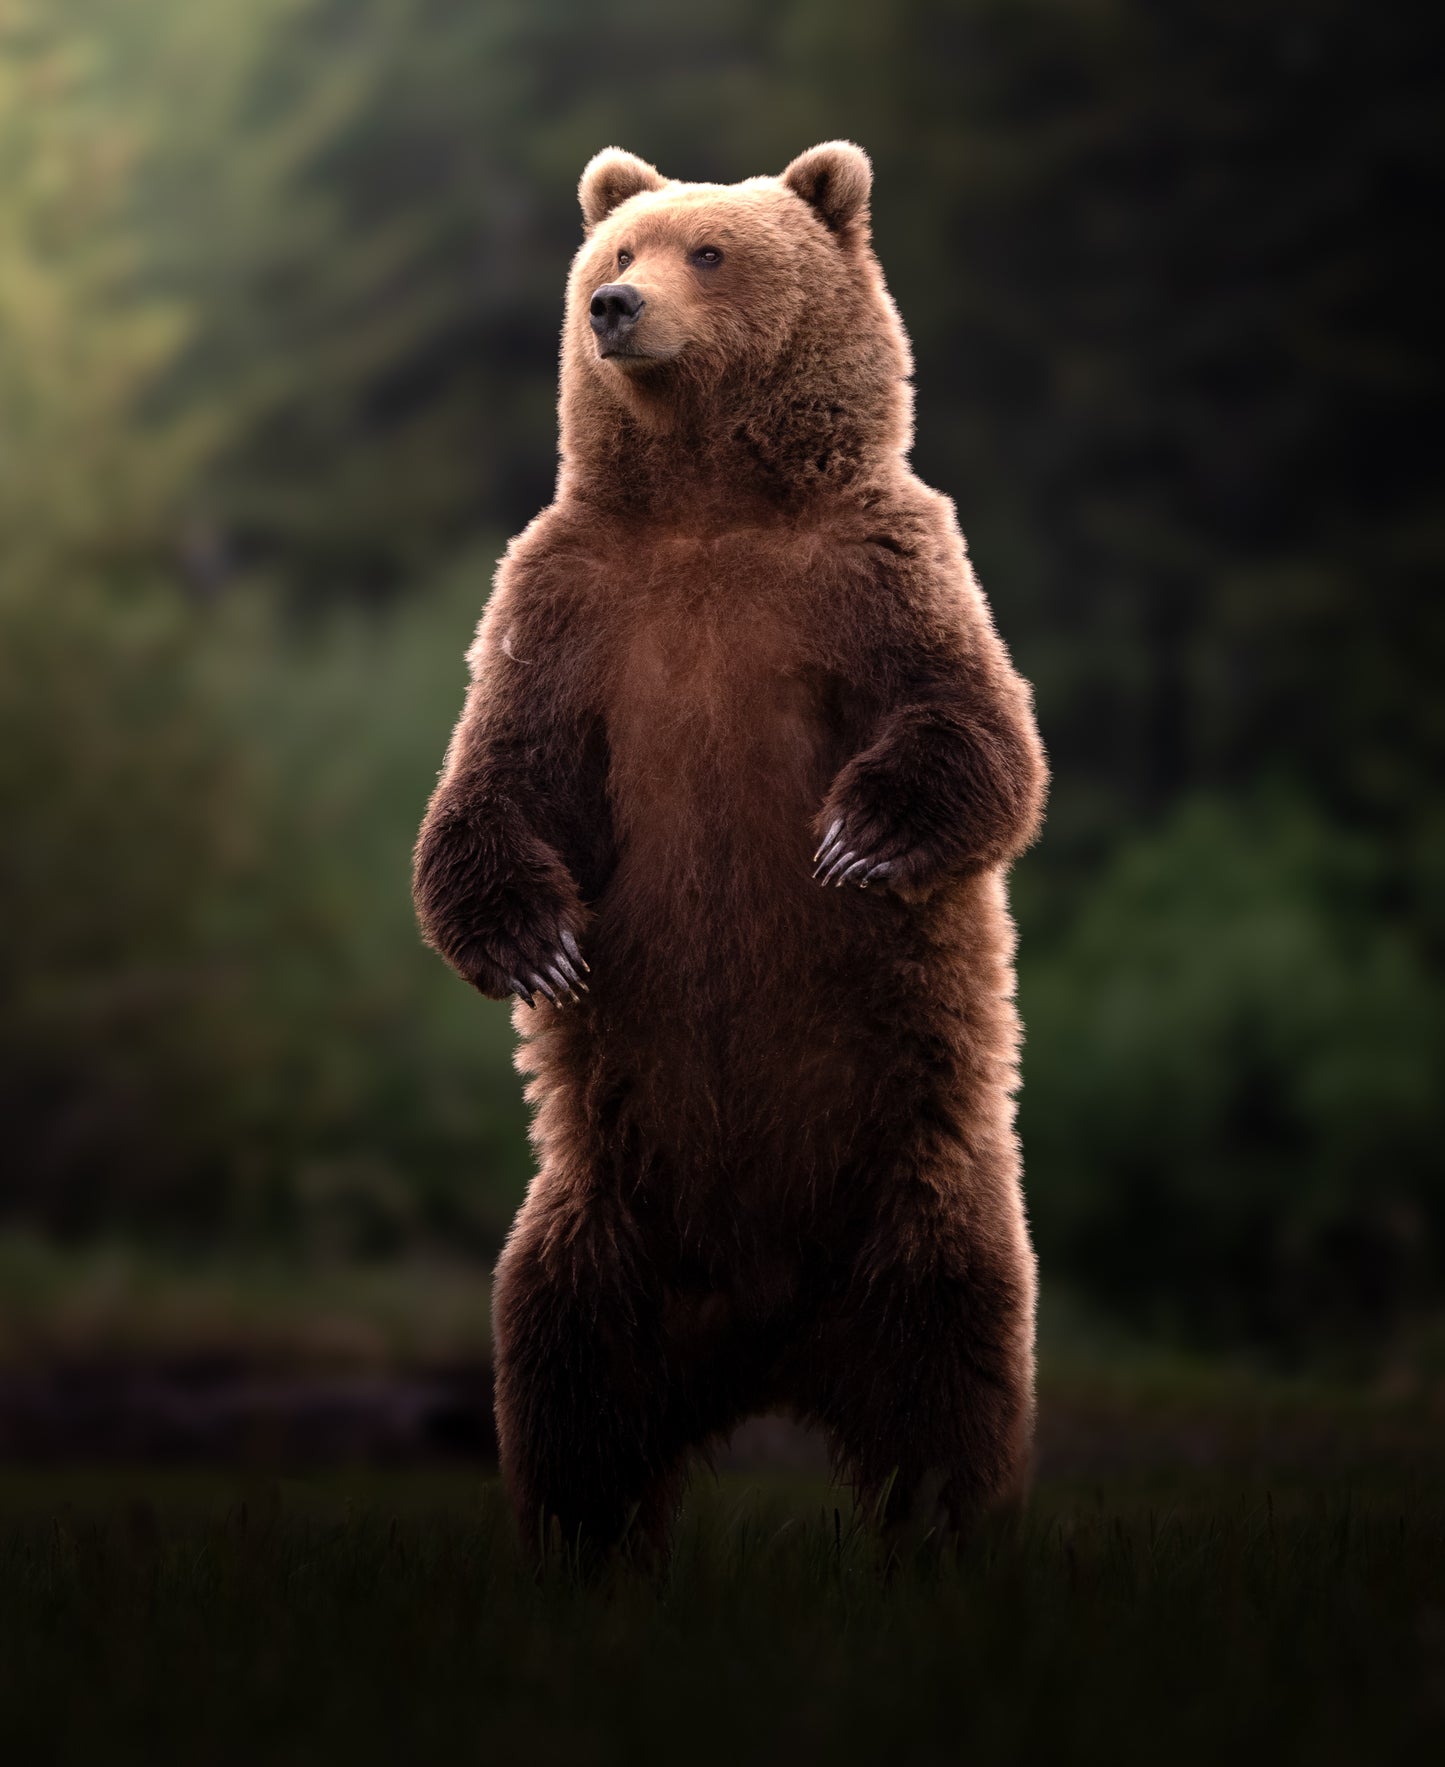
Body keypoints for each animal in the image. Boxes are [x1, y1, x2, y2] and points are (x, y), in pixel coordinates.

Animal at [413, 141, 1048, 1559]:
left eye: (707, 250)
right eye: (615, 251)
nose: (614, 310)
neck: (708, 504)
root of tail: (764, 1348)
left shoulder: (876, 569)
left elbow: (976, 731)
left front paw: (859, 842)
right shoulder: (569, 606)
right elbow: (497, 779)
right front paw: (535, 947)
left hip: (914, 1199)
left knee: (949, 1374)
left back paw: (943, 1538)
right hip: (604, 1228)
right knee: (564, 1379)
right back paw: (582, 1549)